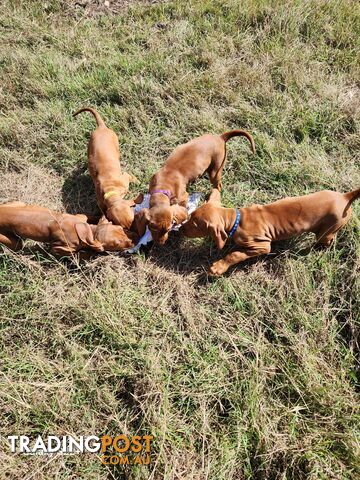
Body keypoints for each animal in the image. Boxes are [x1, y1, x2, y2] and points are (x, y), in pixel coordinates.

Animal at [183, 188, 360, 276]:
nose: (181, 229)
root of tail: (345, 197)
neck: (237, 220)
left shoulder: (263, 246)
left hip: (328, 230)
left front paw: (219, 267)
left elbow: (235, 254)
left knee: (327, 240)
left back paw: (315, 249)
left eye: (195, 225)